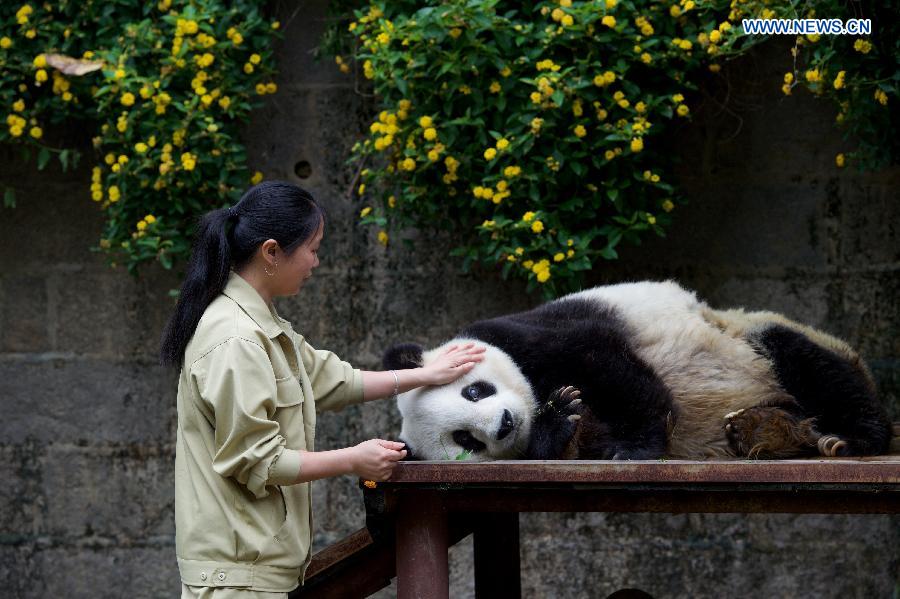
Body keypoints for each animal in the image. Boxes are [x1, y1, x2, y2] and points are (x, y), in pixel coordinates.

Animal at [383, 280, 892, 461]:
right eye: (465, 441)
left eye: (473, 392)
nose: (506, 424)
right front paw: (560, 421)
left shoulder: (531, 334)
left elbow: (606, 362)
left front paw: (635, 446)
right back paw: (760, 431)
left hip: (746, 337)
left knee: (807, 359)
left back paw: (852, 437)